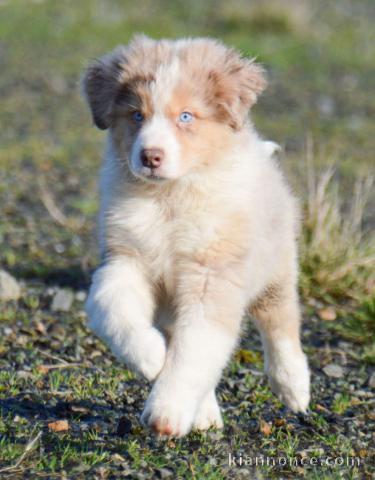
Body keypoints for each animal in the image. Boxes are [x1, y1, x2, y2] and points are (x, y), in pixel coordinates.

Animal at [83, 35, 312, 436]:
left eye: (186, 116)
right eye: (137, 115)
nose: (150, 156)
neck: (170, 199)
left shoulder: (212, 278)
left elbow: (195, 353)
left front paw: (166, 412)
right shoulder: (127, 260)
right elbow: (111, 305)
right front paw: (150, 356)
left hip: (276, 269)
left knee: (280, 324)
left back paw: (294, 388)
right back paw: (204, 413)